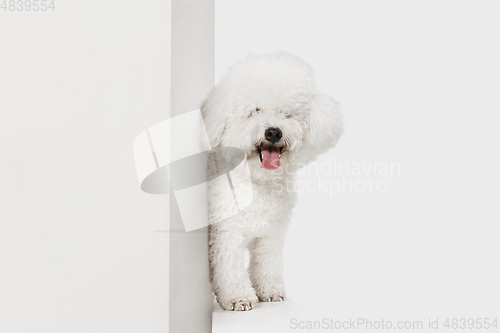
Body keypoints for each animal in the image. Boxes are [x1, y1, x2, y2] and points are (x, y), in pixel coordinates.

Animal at [200, 50, 344, 310]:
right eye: (254, 110)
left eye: (287, 113)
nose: (273, 132)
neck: (257, 182)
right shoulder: (226, 232)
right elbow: (230, 266)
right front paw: (238, 297)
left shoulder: (272, 234)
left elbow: (267, 263)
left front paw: (270, 290)